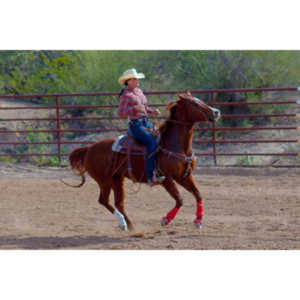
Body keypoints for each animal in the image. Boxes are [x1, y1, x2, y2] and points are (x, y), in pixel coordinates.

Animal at [65, 91, 220, 230]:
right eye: (194, 104)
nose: (216, 112)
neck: (174, 145)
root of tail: (89, 148)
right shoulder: (167, 179)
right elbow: (180, 200)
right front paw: (166, 219)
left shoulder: (184, 176)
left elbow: (198, 194)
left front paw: (198, 220)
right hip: (104, 180)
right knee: (104, 200)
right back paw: (123, 223)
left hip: (117, 179)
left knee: (118, 203)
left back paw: (129, 225)